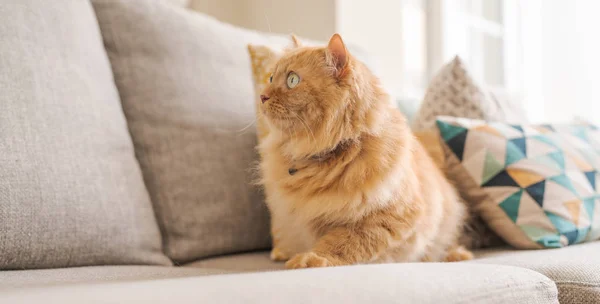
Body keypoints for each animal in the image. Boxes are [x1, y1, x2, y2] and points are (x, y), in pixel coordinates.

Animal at [258, 34, 474, 270]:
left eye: (292, 80)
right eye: (271, 78)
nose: (262, 96)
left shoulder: (389, 218)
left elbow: (343, 243)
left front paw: (312, 259)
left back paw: (456, 255)